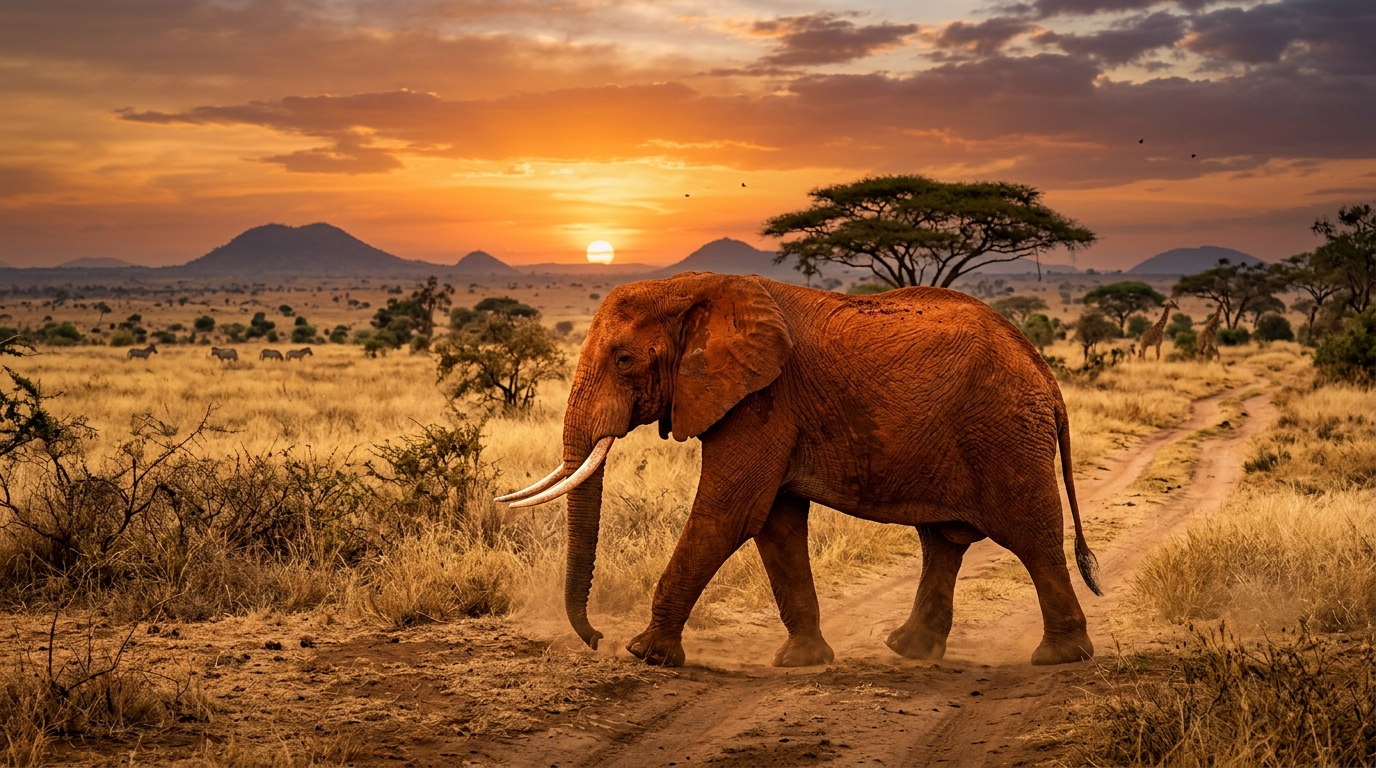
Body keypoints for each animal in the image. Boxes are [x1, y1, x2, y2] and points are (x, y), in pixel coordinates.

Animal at [500, 273, 1101, 669]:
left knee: (1031, 534)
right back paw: (908, 649)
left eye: (623, 360)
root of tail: (1045, 373)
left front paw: (646, 655)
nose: (595, 638)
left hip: (1004, 433)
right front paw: (803, 660)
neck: (694, 289)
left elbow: (729, 512)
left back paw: (1060, 657)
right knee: (944, 542)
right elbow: (775, 524)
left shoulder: (762, 398)